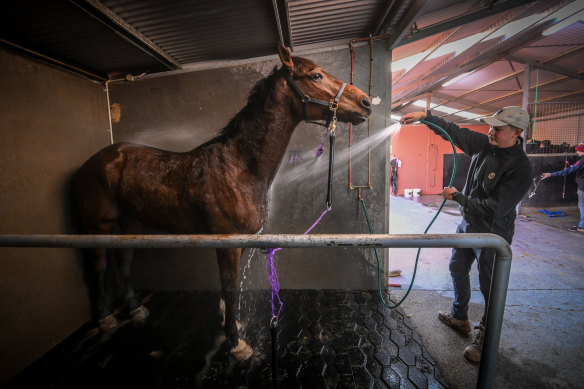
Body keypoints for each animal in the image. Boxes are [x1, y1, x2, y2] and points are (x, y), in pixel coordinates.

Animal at [73, 41, 370, 358]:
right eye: (315, 75)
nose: (365, 102)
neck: (239, 166)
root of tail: (95, 161)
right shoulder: (226, 242)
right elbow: (229, 287)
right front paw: (236, 343)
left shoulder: (240, 241)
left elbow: (231, 289)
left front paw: (234, 325)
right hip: (98, 226)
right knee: (98, 265)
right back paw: (106, 319)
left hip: (131, 223)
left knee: (124, 262)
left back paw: (136, 309)